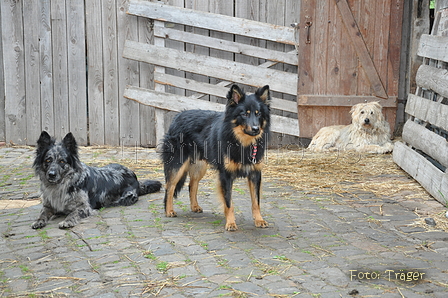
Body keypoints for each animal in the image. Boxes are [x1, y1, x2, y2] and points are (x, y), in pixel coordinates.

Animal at [31, 132, 162, 229]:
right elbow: (42, 213)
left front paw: (67, 221)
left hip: (126, 198)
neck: (61, 186)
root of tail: (134, 175)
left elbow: (73, 213)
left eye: (62, 161)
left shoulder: (84, 207)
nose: (51, 175)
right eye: (48, 160)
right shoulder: (48, 205)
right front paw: (38, 221)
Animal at [163, 84, 272, 230]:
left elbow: (256, 201)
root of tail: (178, 116)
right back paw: (169, 210)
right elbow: (228, 202)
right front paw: (230, 223)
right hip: (178, 165)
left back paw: (194, 206)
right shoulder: (226, 175)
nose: (256, 129)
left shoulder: (255, 174)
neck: (241, 142)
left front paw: (259, 220)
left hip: (200, 166)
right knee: (170, 187)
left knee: (192, 184)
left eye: (258, 113)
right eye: (244, 114)